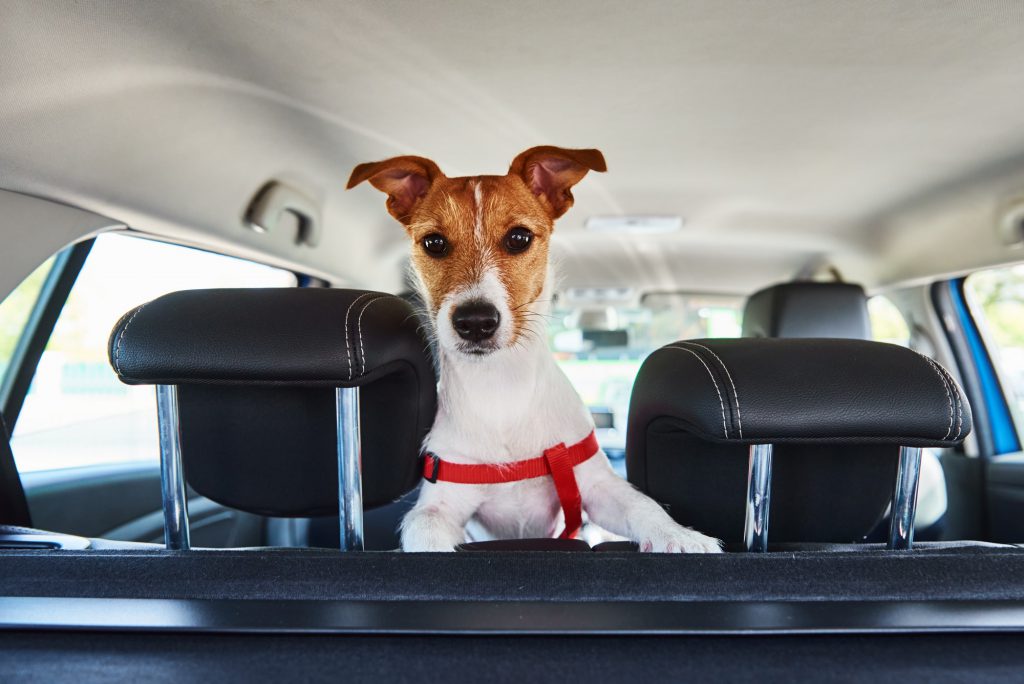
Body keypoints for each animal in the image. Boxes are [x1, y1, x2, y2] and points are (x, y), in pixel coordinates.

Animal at [348, 147, 724, 552]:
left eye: (518, 237)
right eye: (434, 243)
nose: (475, 321)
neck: (501, 389)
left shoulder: (596, 487)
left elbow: (644, 505)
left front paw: (679, 536)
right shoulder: (439, 504)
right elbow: (424, 529)